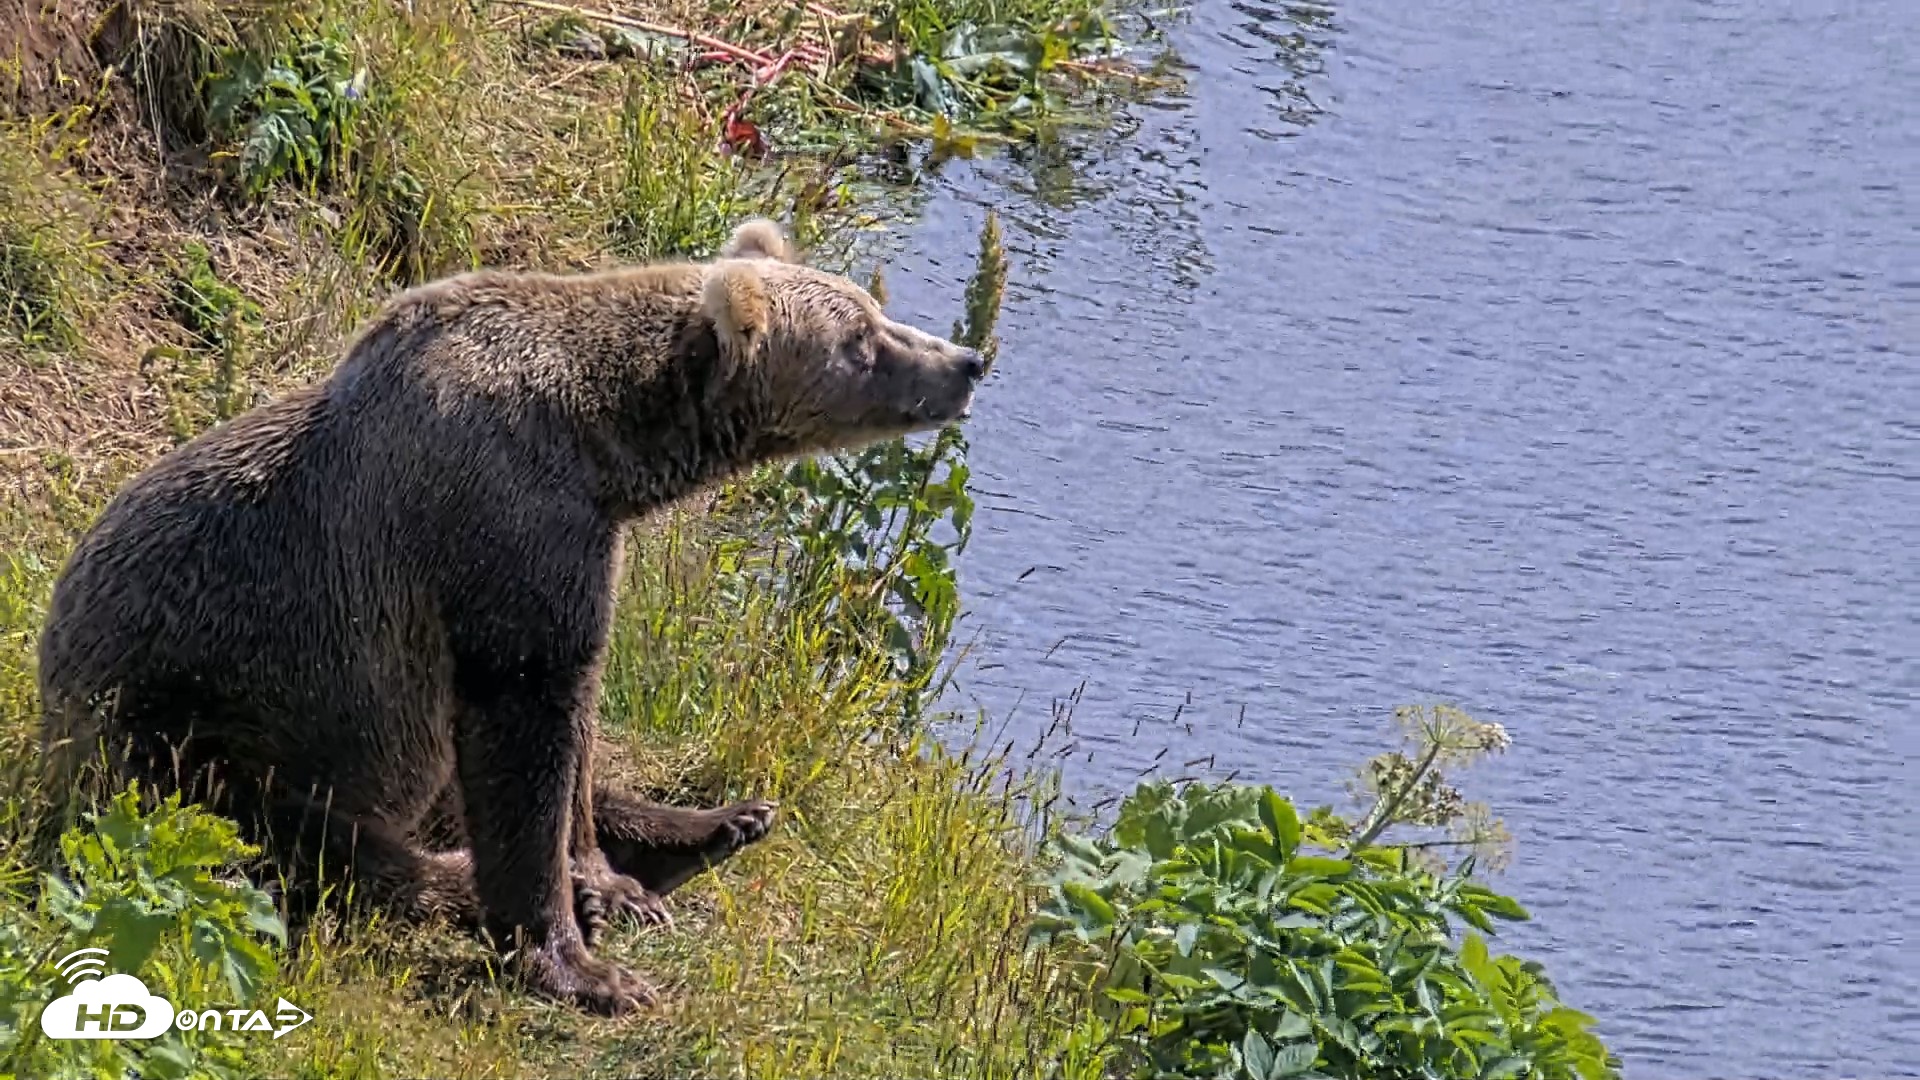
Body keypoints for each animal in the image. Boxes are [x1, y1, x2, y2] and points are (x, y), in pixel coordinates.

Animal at [33, 218, 989, 1015]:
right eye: (861, 340)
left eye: (873, 312)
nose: (967, 361)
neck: (603, 445)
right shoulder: (503, 525)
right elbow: (525, 723)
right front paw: (584, 957)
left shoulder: (586, 544)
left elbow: (576, 725)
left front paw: (611, 877)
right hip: (186, 734)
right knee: (317, 843)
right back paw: (465, 885)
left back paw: (718, 823)